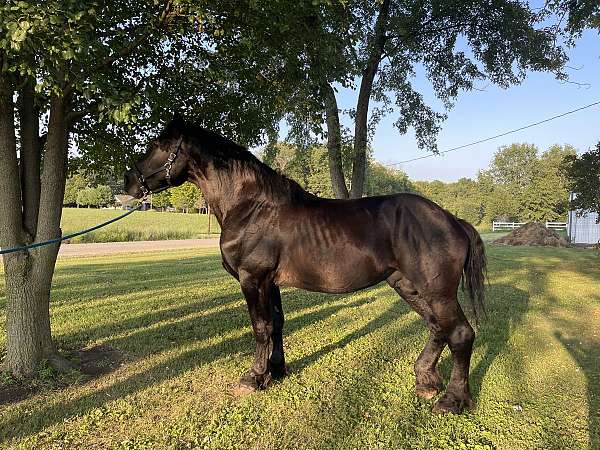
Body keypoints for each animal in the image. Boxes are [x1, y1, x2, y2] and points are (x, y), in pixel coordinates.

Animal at [124, 118, 486, 414]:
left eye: (158, 145)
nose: (129, 182)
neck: (252, 206)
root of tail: (452, 220)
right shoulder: (269, 282)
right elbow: (276, 324)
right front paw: (275, 371)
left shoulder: (252, 278)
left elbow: (260, 327)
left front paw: (253, 378)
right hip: (407, 285)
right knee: (437, 328)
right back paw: (425, 381)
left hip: (436, 291)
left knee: (460, 333)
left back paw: (452, 400)